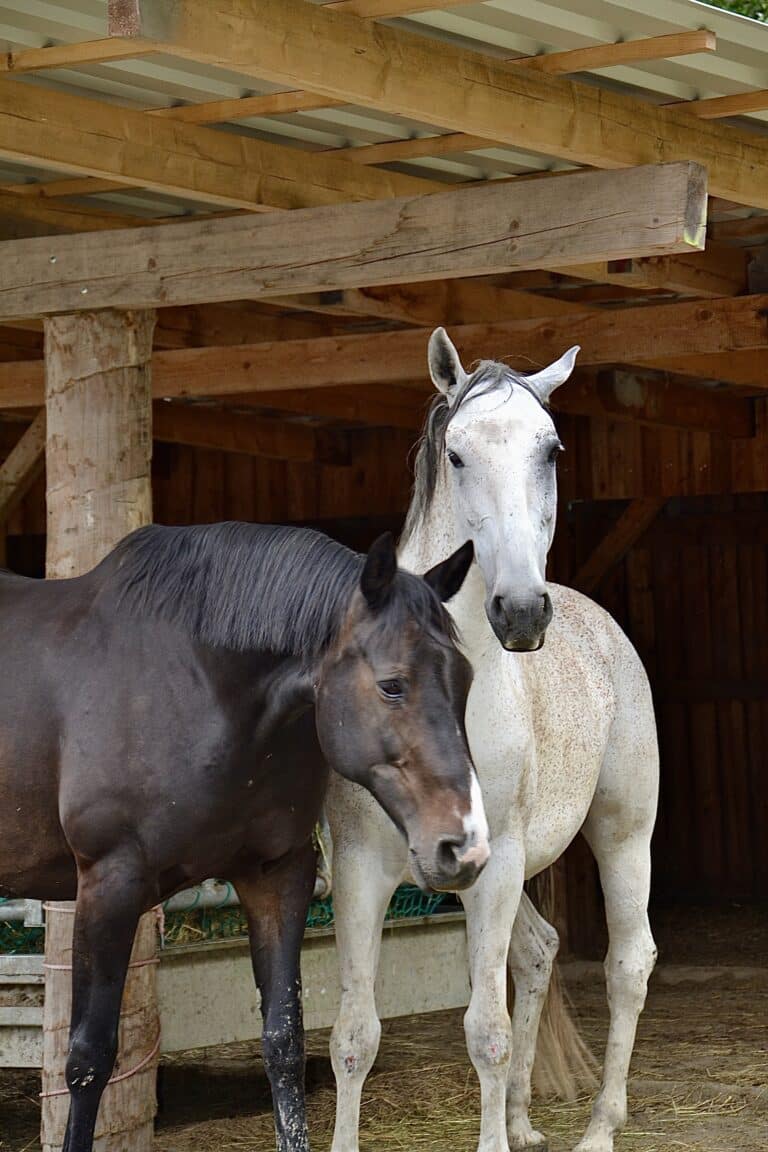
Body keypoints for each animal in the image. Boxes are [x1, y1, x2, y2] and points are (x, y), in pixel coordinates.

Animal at [0, 525, 490, 1152]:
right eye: (391, 685)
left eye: (466, 681)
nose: (466, 846)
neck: (199, 684)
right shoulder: (109, 883)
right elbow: (87, 1058)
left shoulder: (276, 877)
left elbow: (283, 1039)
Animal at [327, 331, 658, 1152]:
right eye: (456, 453)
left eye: (552, 449)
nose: (520, 610)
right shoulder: (358, 869)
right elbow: (354, 1036)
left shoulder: (498, 862)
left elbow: (486, 1031)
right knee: (538, 953)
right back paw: (523, 1119)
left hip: (622, 832)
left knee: (628, 964)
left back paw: (600, 1125)